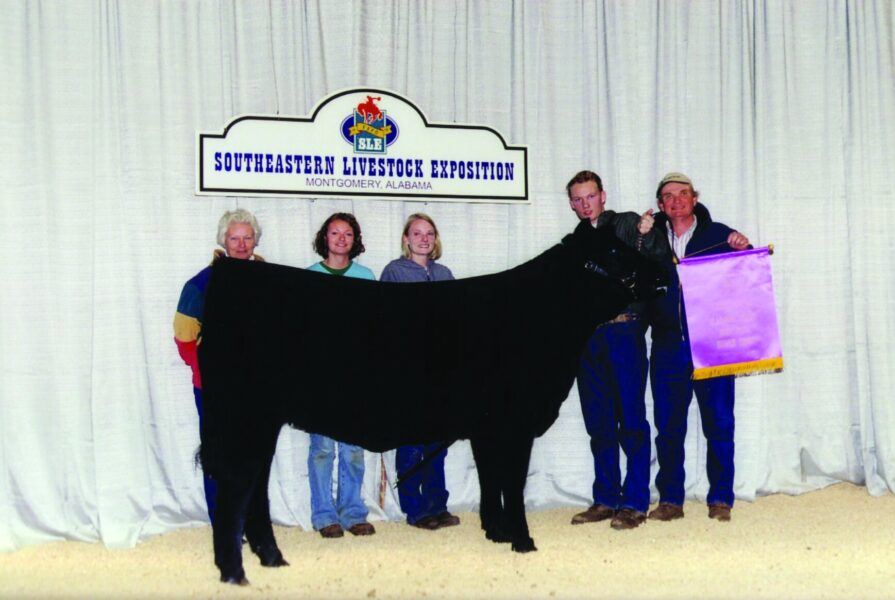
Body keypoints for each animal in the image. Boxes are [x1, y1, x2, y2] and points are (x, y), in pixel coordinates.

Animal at [198, 220, 667, 585]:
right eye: (613, 250)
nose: (662, 269)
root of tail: (228, 275)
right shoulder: (513, 423)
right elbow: (512, 483)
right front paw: (523, 541)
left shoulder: (486, 427)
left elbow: (490, 480)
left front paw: (495, 532)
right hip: (243, 417)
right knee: (236, 486)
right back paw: (235, 571)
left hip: (257, 421)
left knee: (254, 486)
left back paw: (271, 558)